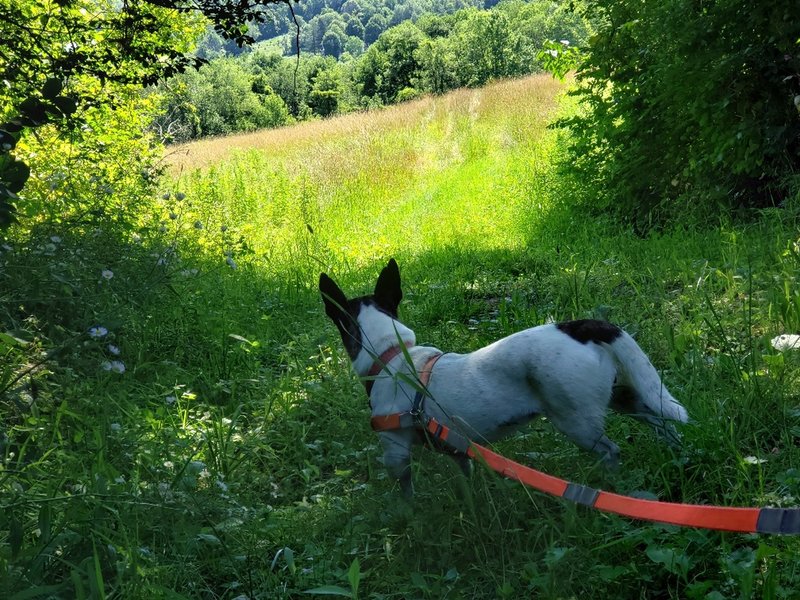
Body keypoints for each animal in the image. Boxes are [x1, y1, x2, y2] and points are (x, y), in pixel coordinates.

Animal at [318, 258, 688, 496]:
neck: (391, 355)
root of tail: (580, 327)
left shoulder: (395, 451)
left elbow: (405, 492)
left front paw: (409, 519)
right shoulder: (457, 449)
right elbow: (465, 476)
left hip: (576, 420)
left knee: (611, 450)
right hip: (622, 395)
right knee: (659, 418)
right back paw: (678, 453)